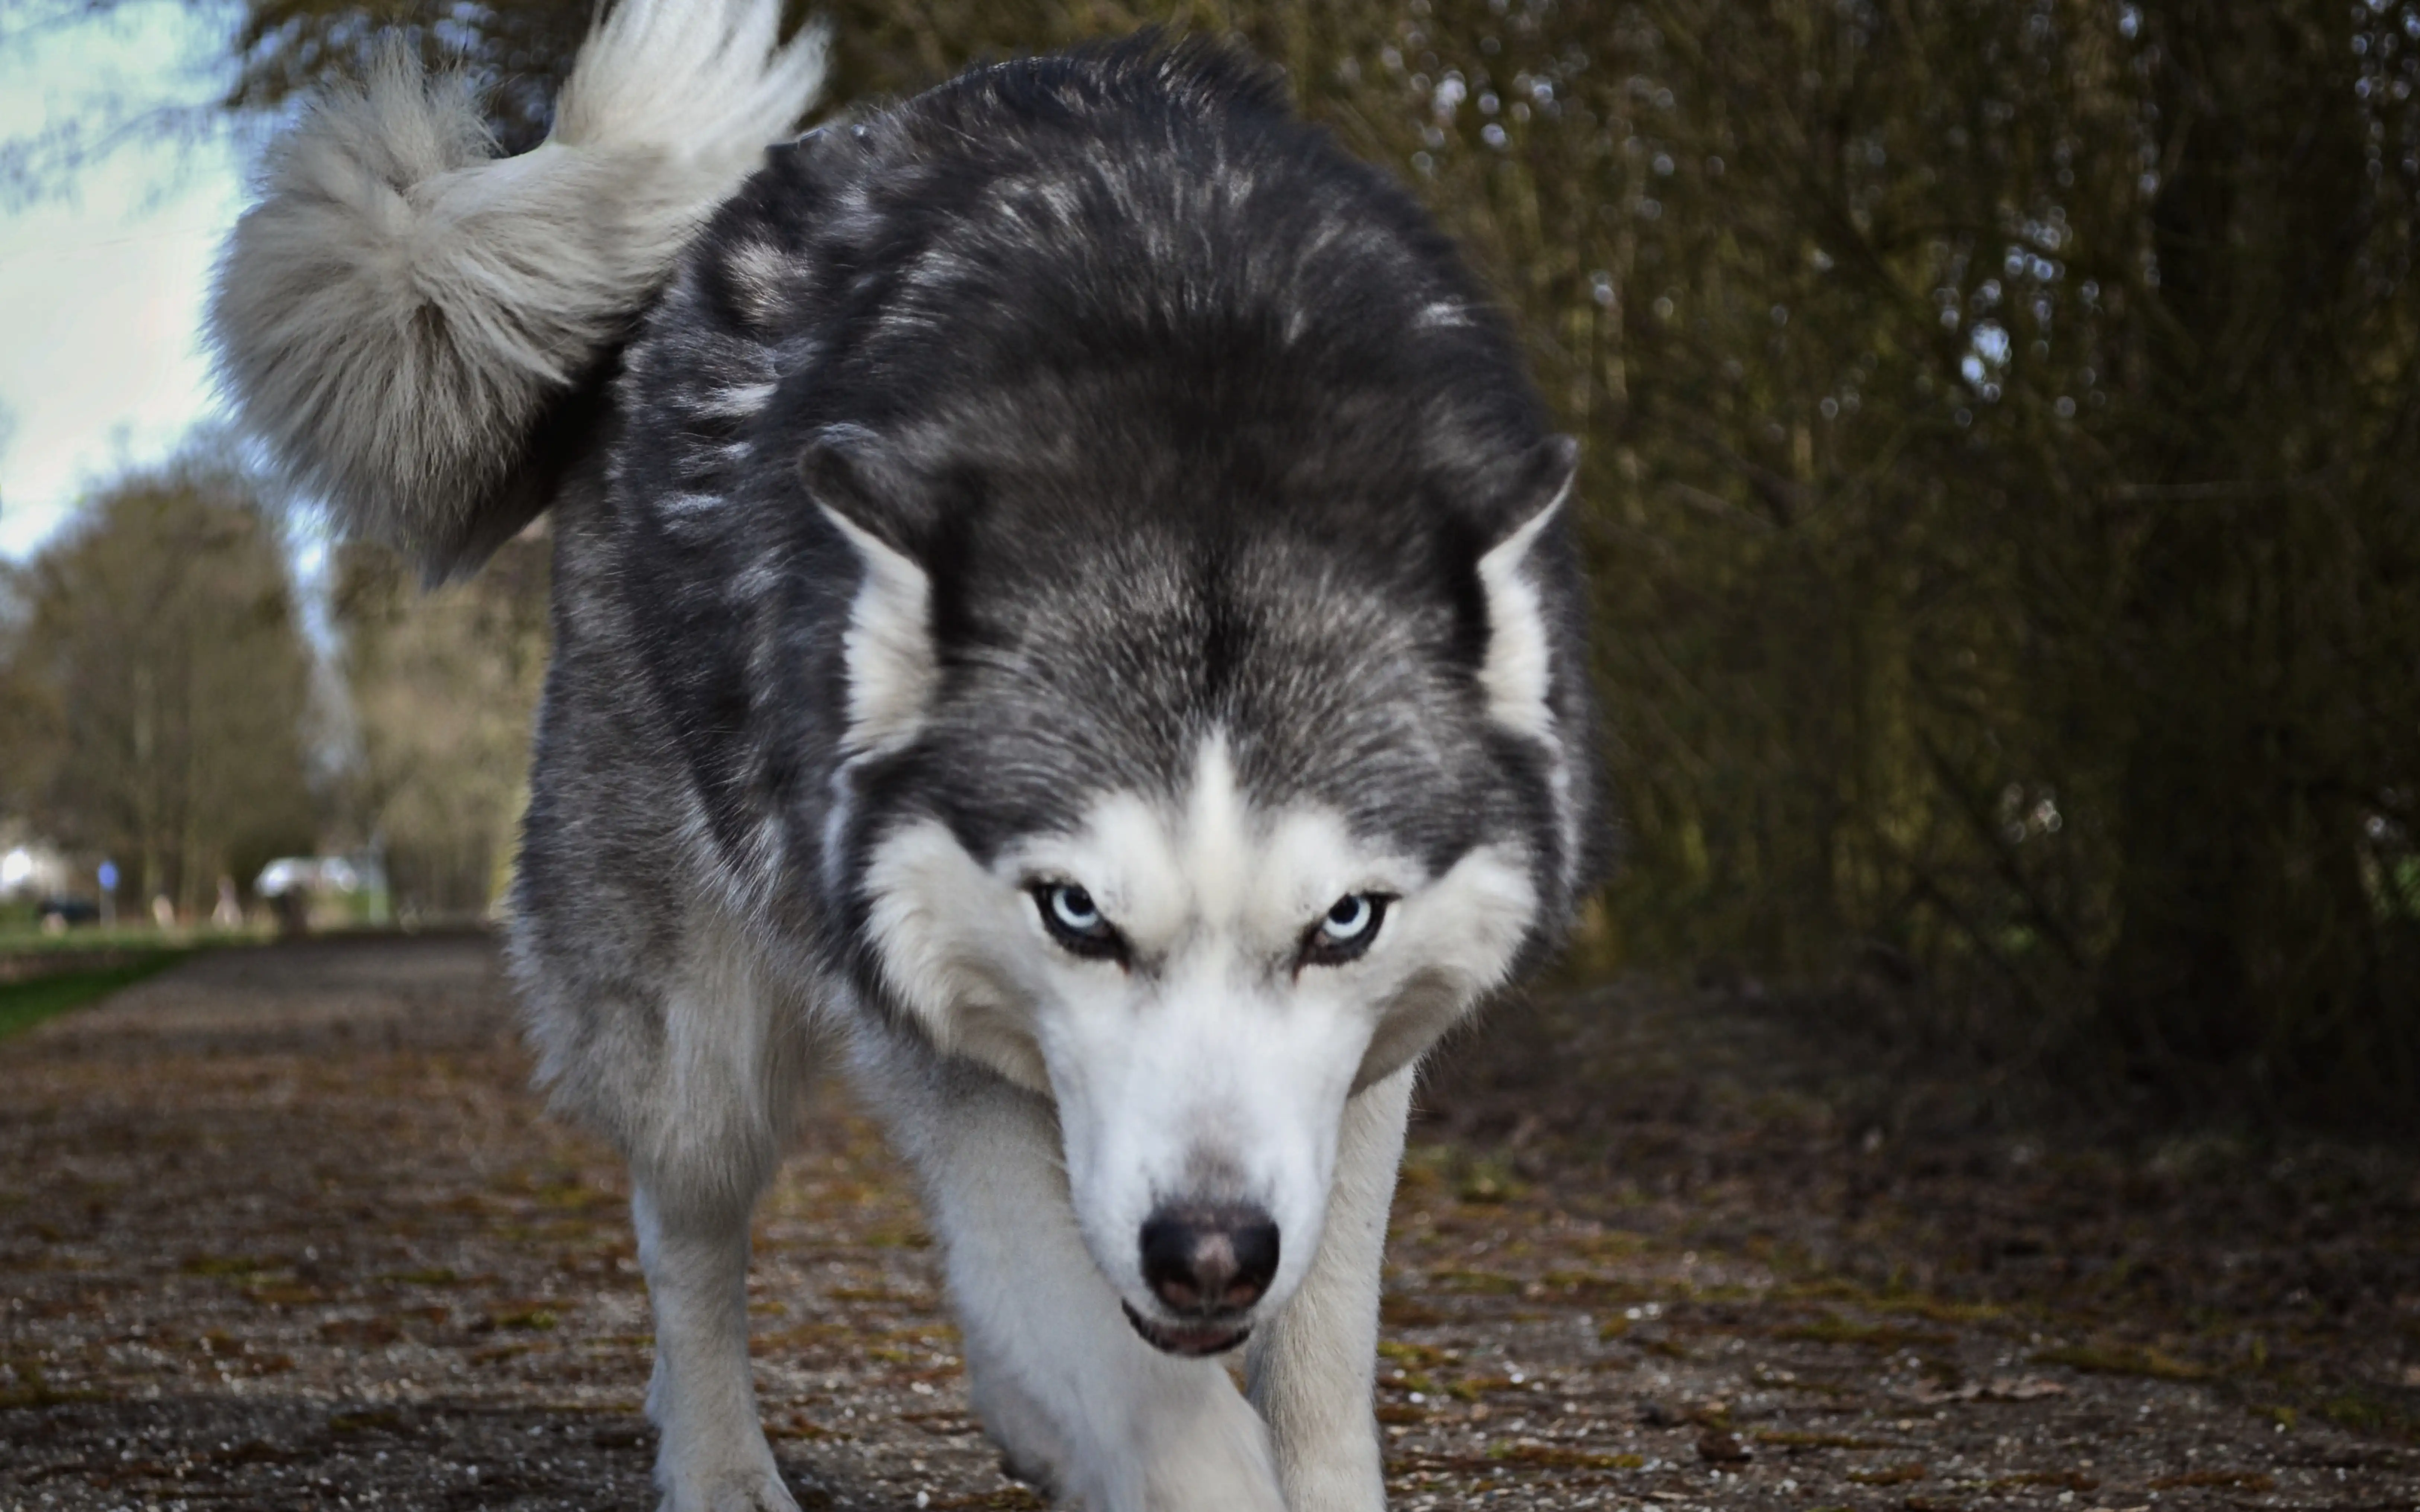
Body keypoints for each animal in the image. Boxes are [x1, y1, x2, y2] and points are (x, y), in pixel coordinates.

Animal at [213, 6, 1607, 1500]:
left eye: (1343, 921)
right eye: (1075, 912)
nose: (1211, 1254)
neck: (1195, 378)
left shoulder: (1358, 1083)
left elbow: (1314, 1364)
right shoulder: (933, 1035)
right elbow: (1151, 1400)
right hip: (697, 1032)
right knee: (686, 1231)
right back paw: (721, 1466)